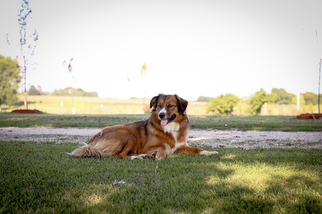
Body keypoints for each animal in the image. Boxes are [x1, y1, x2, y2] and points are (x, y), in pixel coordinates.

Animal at [68, 94, 219, 160]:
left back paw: (143, 156)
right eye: (159, 105)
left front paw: (209, 152)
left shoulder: (181, 146)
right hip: (129, 137)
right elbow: (161, 147)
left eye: (170, 105)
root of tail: (93, 140)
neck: (169, 129)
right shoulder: (149, 146)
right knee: (120, 155)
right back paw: (139, 157)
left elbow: (198, 149)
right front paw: (159, 156)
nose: (161, 115)